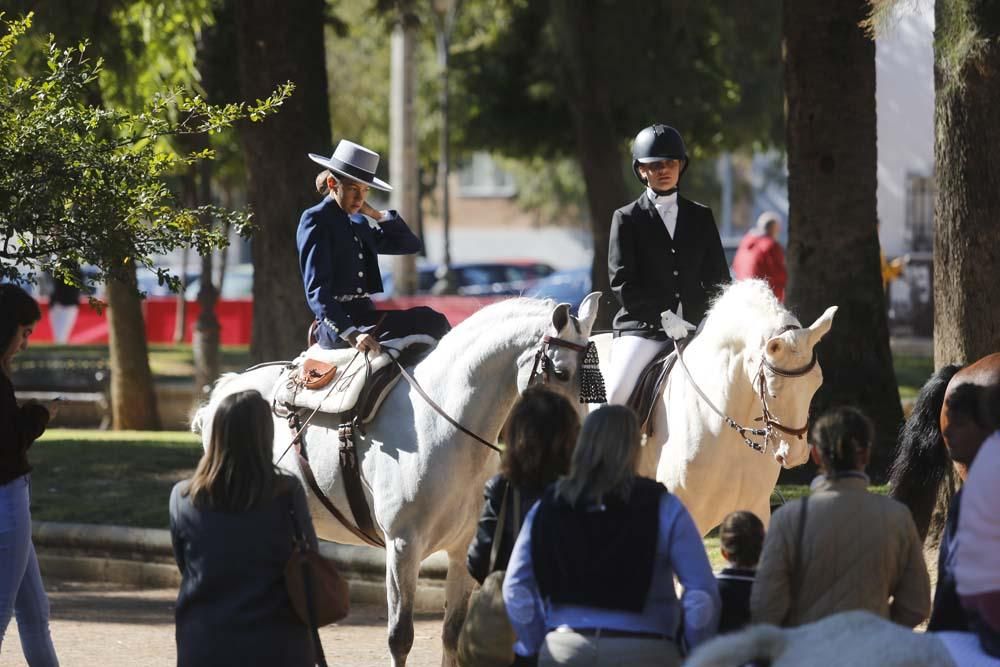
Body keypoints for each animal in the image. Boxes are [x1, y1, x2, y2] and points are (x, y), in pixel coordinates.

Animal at [195, 294, 600, 664]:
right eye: (561, 373)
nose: (576, 450)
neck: (442, 423)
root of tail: (226, 387)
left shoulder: (462, 550)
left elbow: (452, 633)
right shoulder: (403, 546)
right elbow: (400, 637)